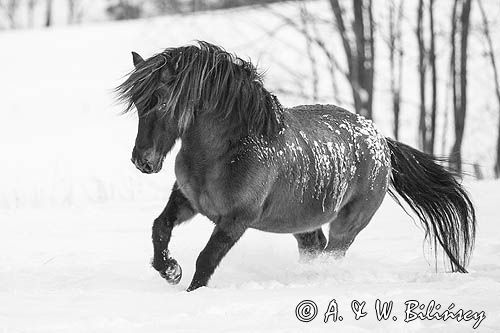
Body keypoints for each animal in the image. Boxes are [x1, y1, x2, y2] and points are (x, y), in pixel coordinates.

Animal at [116, 40, 476, 290]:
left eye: (162, 102)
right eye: (137, 103)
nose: (142, 161)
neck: (222, 154)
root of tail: (381, 141)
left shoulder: (236, 220)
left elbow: (206, 259)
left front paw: (192, 291)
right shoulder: (187, 201)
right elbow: (160, 228)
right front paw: (171, 271)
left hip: (348, 225)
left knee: (331, 253)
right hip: (303, 223)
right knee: (314, 247)